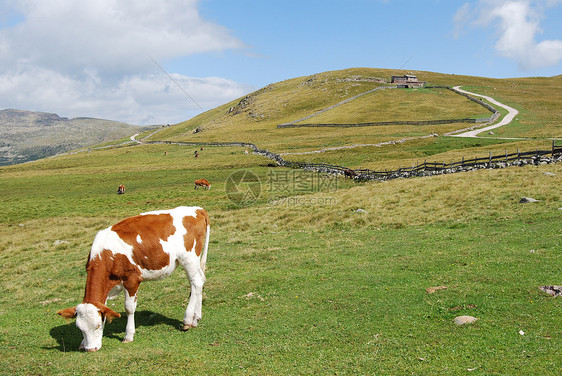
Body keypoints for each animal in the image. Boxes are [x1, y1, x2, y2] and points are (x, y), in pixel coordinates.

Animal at [57, 207, 210, 352]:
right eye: (79, 328)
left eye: (98, 325)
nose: (91, 349)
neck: (106, 254)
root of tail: (197, 209)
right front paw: (83, 343)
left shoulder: (132, 279)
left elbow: (129, 308)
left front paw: (128, 335)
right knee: (198, 282)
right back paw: (196, 318)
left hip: (189, 258)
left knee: (196, 282)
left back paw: (187, 320)